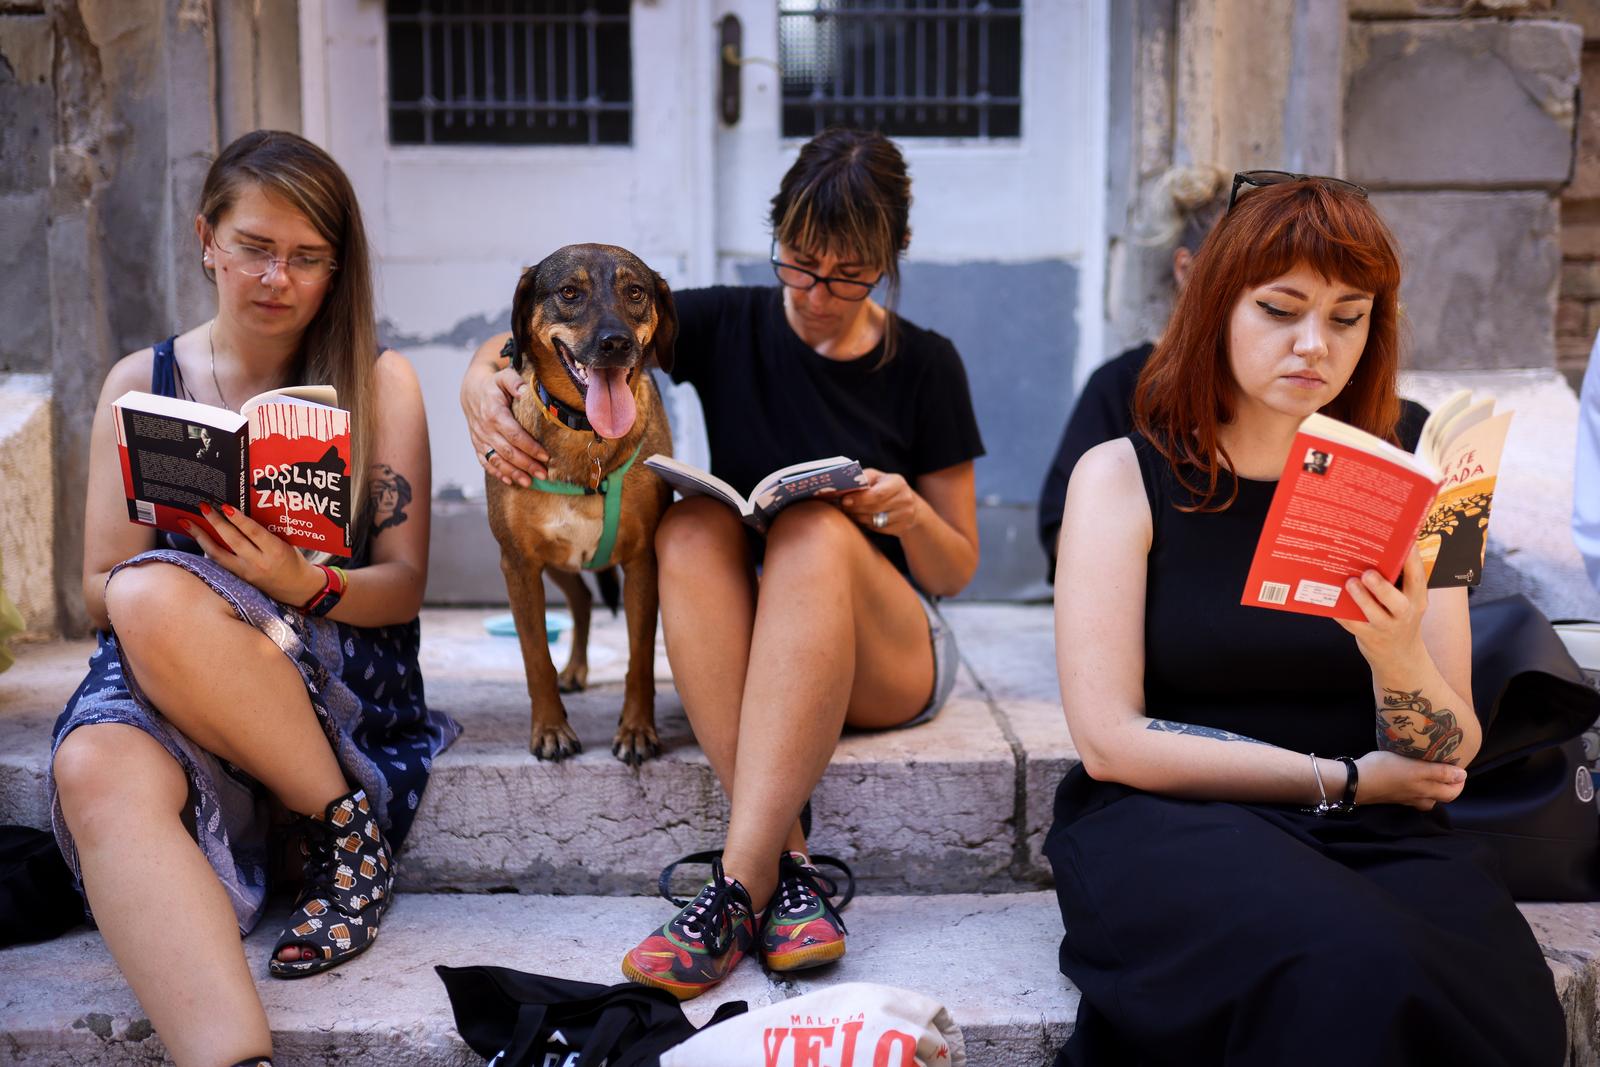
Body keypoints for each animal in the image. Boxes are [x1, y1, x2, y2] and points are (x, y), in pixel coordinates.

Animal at [492, 244, 681, 758]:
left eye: (635, 292)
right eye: (569, 292)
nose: (616, 343)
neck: (587, 436)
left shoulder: (643, 560)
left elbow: (640, 656)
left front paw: (637, 729)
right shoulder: (518, 562)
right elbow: (535, 656)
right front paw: (551, 729)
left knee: (583, 600)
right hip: (552, 560)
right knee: (578, 599)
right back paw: (573, 670)